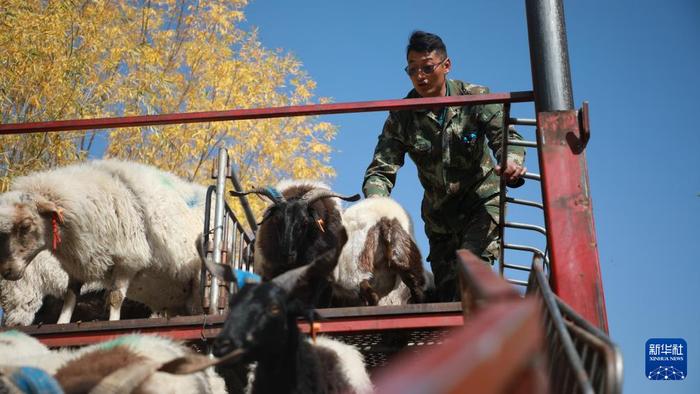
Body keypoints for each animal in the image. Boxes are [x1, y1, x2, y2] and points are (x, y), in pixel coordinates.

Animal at [0, 159, 208, 322]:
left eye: (25, 226)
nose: (6, 271)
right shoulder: (77, 267)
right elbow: (69, 301)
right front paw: (62, 324)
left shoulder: (129, 260)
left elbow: (115, 298)